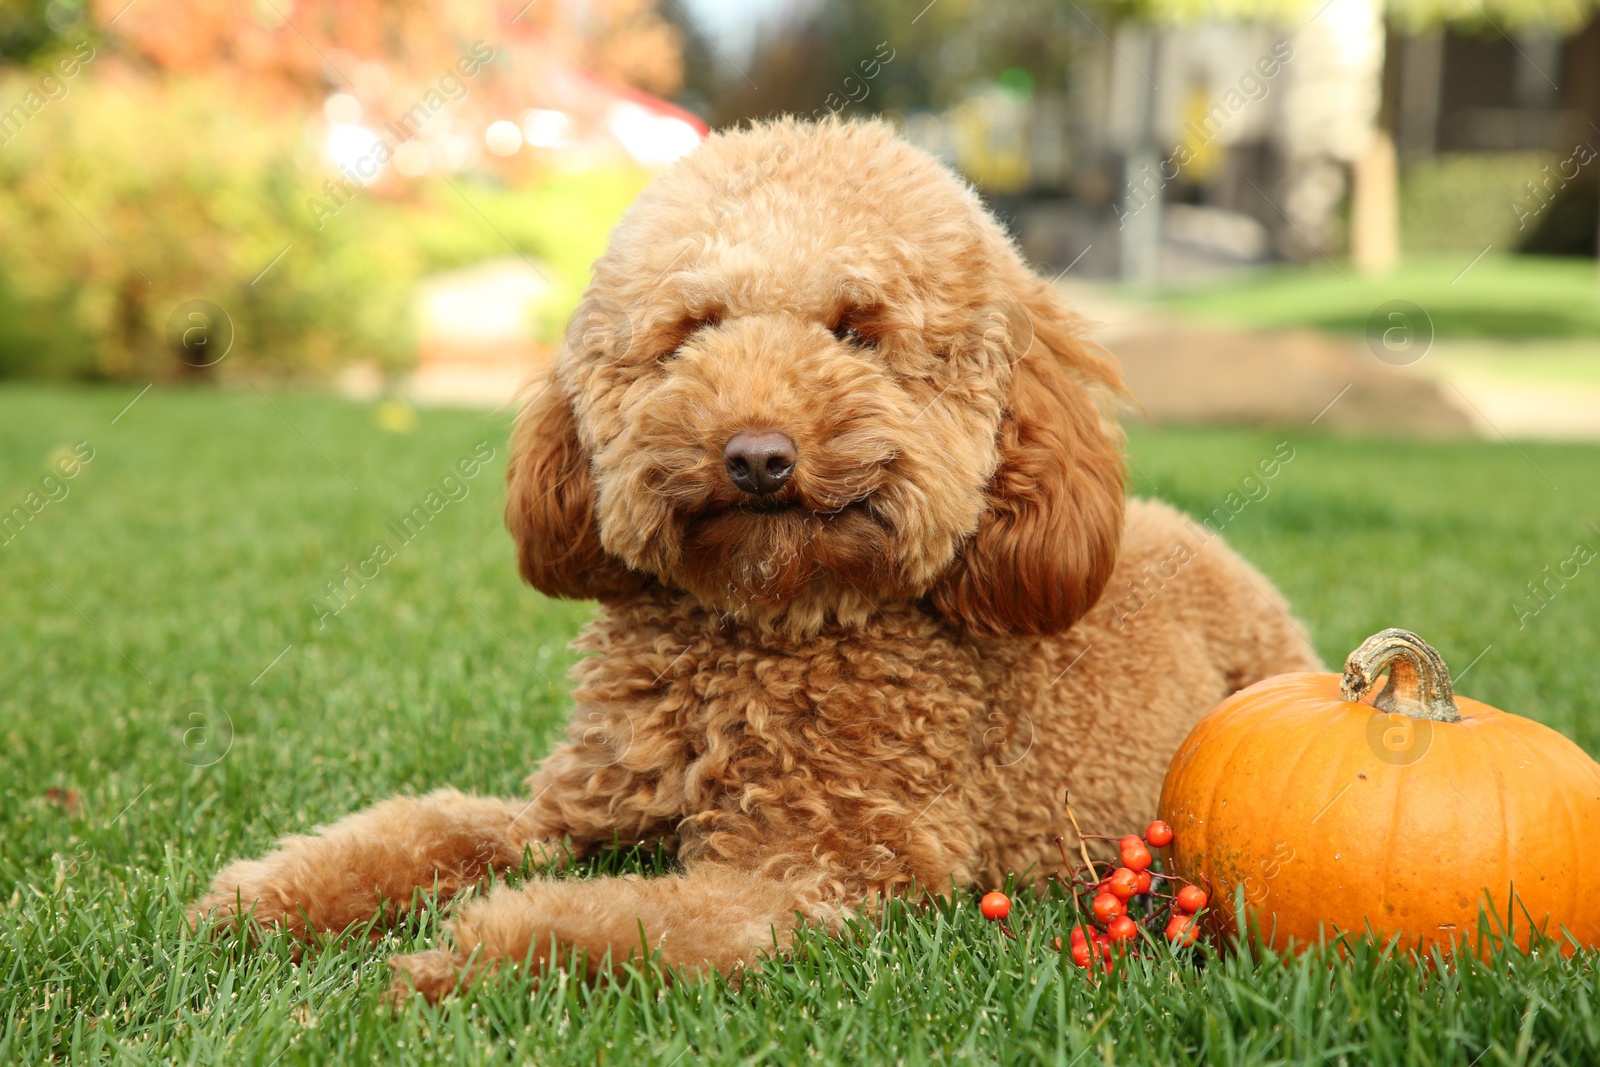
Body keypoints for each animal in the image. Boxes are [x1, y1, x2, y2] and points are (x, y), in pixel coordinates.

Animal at [190, 120, 1312, 1004]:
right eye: (695, 328)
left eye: (858, 331)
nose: (759, 455)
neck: (761, 633)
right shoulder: (572, 809)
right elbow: (429, 826)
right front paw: (269, 897)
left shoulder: (814, 870)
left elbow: (621, 922)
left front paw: (471, 956)